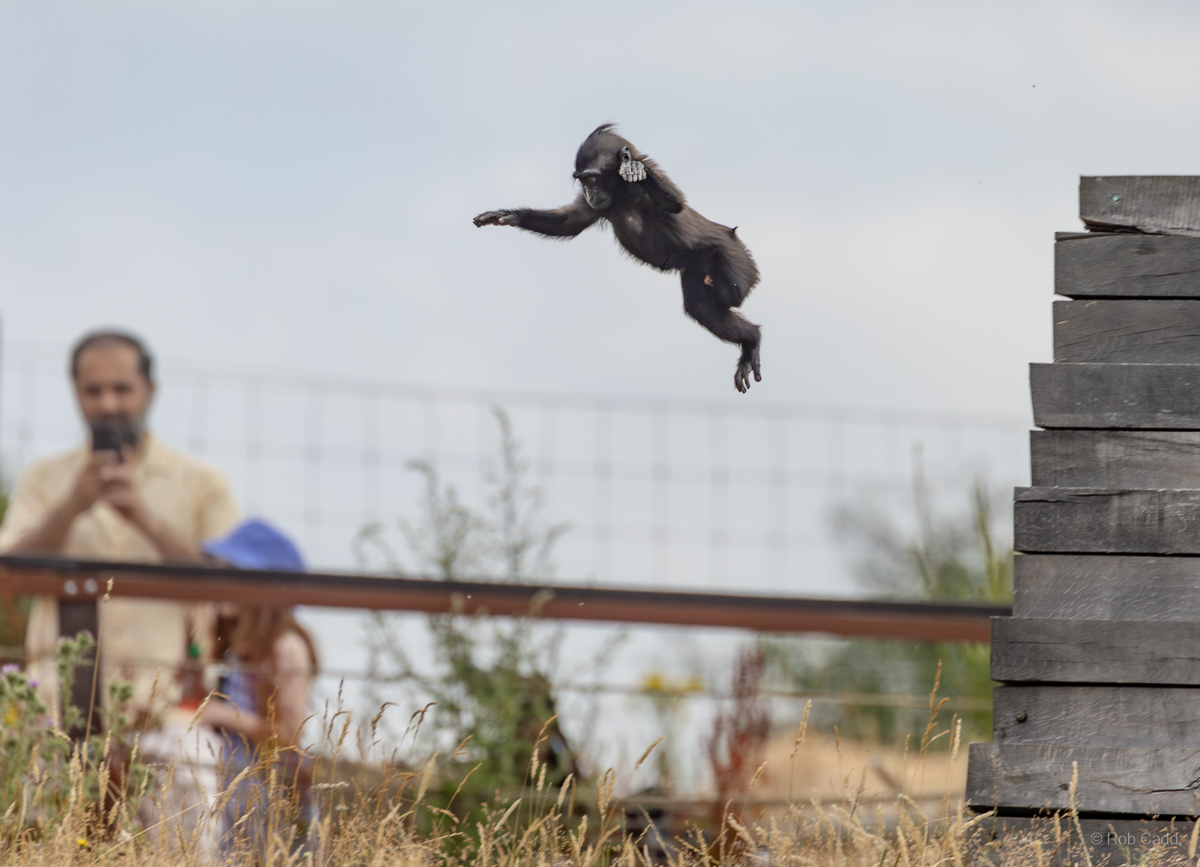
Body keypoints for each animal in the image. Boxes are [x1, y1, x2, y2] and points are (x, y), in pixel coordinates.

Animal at [473, 124, 762, 393]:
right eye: (582, 181)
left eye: (591, 178)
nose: (589, 192)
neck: (621, 192)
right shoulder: (592, 207)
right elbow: (568, 223)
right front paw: (509, 215)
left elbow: (674, 203)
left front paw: (634, 167)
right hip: (694, 271)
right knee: (701, 307)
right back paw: (750, 340)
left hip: (733, 255)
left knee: (732, 292)